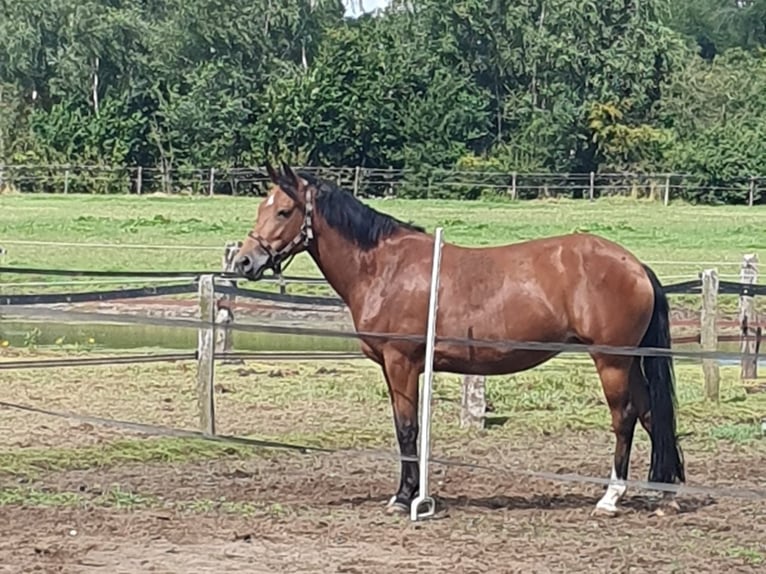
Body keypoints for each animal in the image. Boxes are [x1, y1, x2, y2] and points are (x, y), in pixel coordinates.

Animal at [232, 162, 684, 516]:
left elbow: (408, 429)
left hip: (612, 361)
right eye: (261, 207)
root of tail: (635, 265)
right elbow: (405, 428)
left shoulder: (402, 363)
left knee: (625, 418)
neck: (383, 267)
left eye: (284, 211)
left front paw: (405, 498)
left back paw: (610, 497)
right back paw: (662, 495)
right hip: (630, 361)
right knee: (650, 415)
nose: (244, 261)